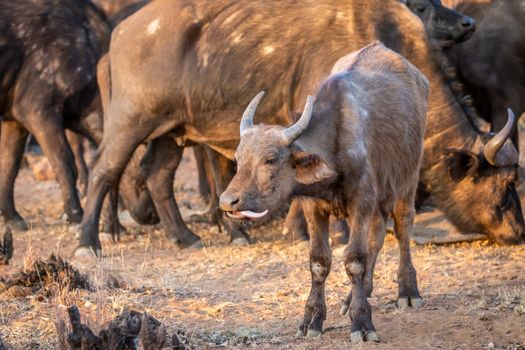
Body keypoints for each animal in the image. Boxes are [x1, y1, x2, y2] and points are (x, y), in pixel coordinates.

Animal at [0, 0, 109, 230]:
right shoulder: (39, 113)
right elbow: (64, 161)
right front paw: (75, 214)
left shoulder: (14, 121)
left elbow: (9, 164)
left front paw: (12, 217)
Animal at [75, 0, 520, 256]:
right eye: (502, 184)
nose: (517, 230)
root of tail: (121, 32)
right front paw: (326, 231)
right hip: (130, 121)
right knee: (103, 170)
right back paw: (88, 242)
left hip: (173, 130)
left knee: (157, 176)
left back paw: (186, 237)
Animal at [219, 42, 428, 344]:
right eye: (238, 158)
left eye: (270, 159)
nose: (228, 201)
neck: (335, 143)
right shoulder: (313, 206)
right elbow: (319, 260)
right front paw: (312, 319)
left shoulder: (362, 202)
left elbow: (354, 259)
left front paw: (362, 322)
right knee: (376, 236)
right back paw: (356, 295)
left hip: (408, 178)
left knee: (402, 227)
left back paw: (408, 291)